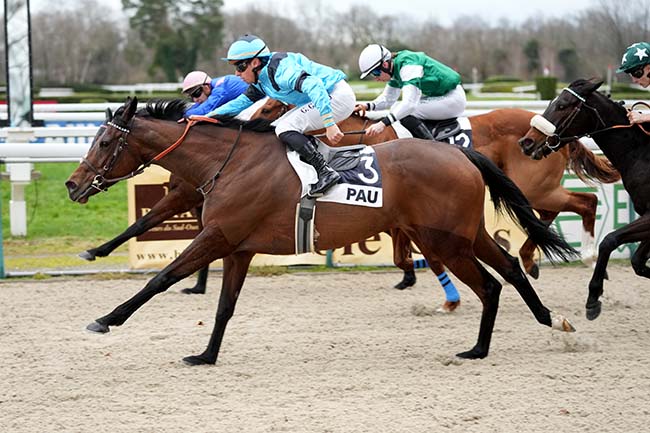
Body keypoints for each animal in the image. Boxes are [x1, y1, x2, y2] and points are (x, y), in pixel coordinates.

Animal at [63, 96, 576, 362]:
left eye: (104, 142)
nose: (72, 184)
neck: (228, 161)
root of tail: (460, 153)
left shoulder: (217, 236)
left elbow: (161, 278)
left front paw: (106, 319)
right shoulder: (237, 247)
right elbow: (225, 307)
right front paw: (206, 355)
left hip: (444, 240)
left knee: (490, 285)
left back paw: (479, 349)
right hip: (464, 234)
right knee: (509, 267)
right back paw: (551, 319)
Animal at [516, 78, 648, 320]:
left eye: (562, 106)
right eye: (552, 101)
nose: (527, 142)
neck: (641, 153)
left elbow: (609, 241)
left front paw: (593, 298)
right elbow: (637, 262)